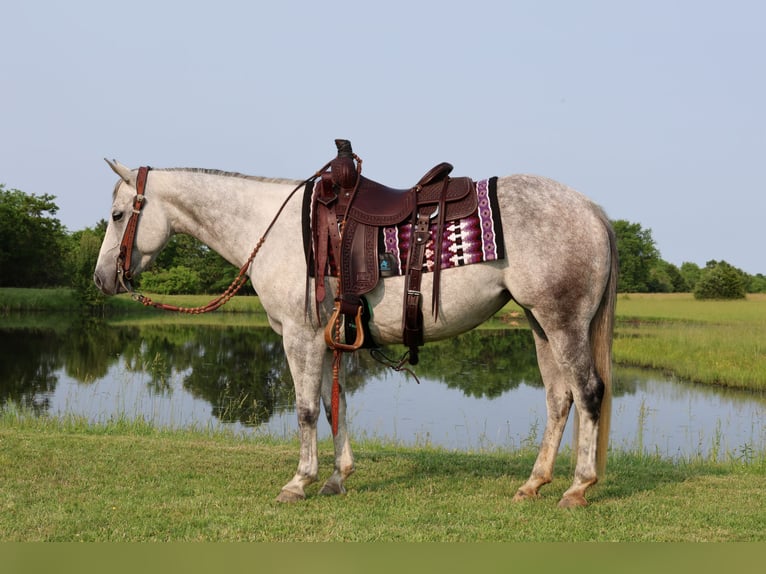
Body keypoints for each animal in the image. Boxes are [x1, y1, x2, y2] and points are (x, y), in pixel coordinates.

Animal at [93, 154, 617, 508]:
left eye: (118, 215)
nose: (101, 279)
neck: (276, 230)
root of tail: (592, 209)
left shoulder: (300, 336)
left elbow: (306, 410)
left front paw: (298, 482)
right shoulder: (328, 339)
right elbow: (334, 406)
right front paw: (336, 478)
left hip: (563, 321)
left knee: (589, 391)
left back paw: (577, 487)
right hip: (539, 322)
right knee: (559, 398)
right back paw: (533, 483)